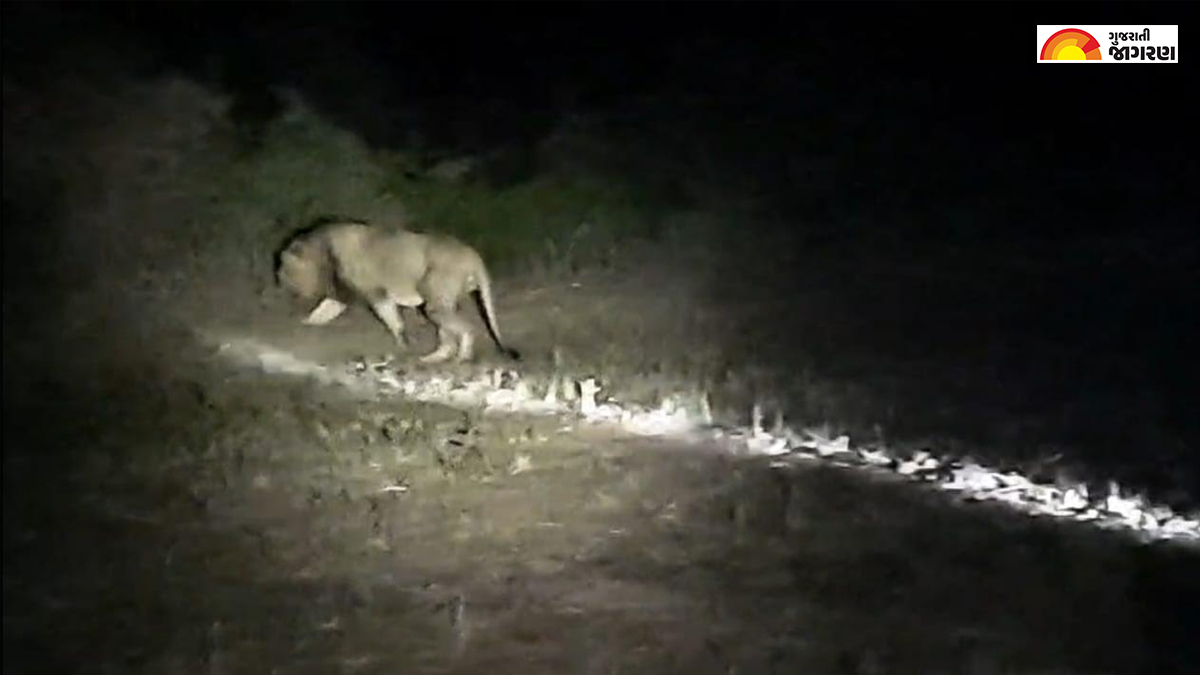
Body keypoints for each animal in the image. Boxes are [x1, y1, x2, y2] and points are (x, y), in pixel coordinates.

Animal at [274, 221, 520, 363]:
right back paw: (433, 358)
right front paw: (305, 323)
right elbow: (322, 312)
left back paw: (463, 357)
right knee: (448, 337)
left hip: (436, 300)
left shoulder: (374, 293)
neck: (321, 251)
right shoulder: (343, 294)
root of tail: (473, 255)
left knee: (466, 328)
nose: (278, 283)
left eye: (284, 270)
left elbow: (393, 320)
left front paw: (402, 343)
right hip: (443, 300)